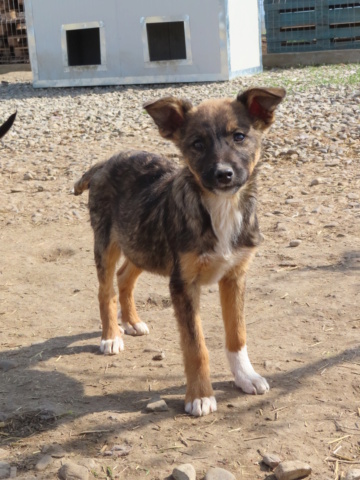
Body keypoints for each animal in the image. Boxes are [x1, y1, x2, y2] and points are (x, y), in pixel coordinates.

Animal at [74, 88, 286, 418]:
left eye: (239, 136)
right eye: (197, 144)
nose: (223, 174)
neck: (220, 209)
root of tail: (104, 163)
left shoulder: (235, 276)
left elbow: (237, 335)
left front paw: (245, 376)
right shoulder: (183, 283)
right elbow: (196, 346)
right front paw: (200, 396)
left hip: (141, 243)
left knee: (124, 277)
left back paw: (131, 321)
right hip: (108, 242)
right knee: (105, 289)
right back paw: (111, 336)